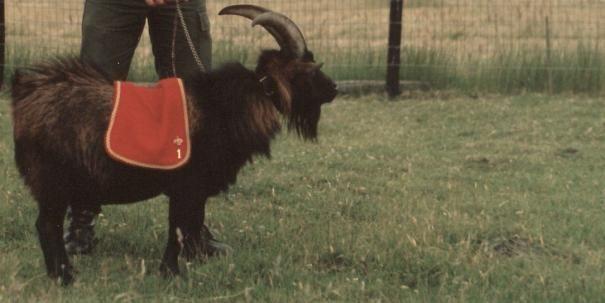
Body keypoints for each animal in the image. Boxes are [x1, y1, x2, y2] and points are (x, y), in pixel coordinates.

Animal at [9, 4, 338, 284]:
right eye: (311, 69)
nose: (334, 88)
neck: (224, 107)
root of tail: (27, 96)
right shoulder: (186, 184)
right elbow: (178, 229)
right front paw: (171, 273)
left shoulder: (194, 189)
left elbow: (190, 223)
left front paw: (196, 257)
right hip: (53, 181)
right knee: (47, 225)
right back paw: (64, 276)